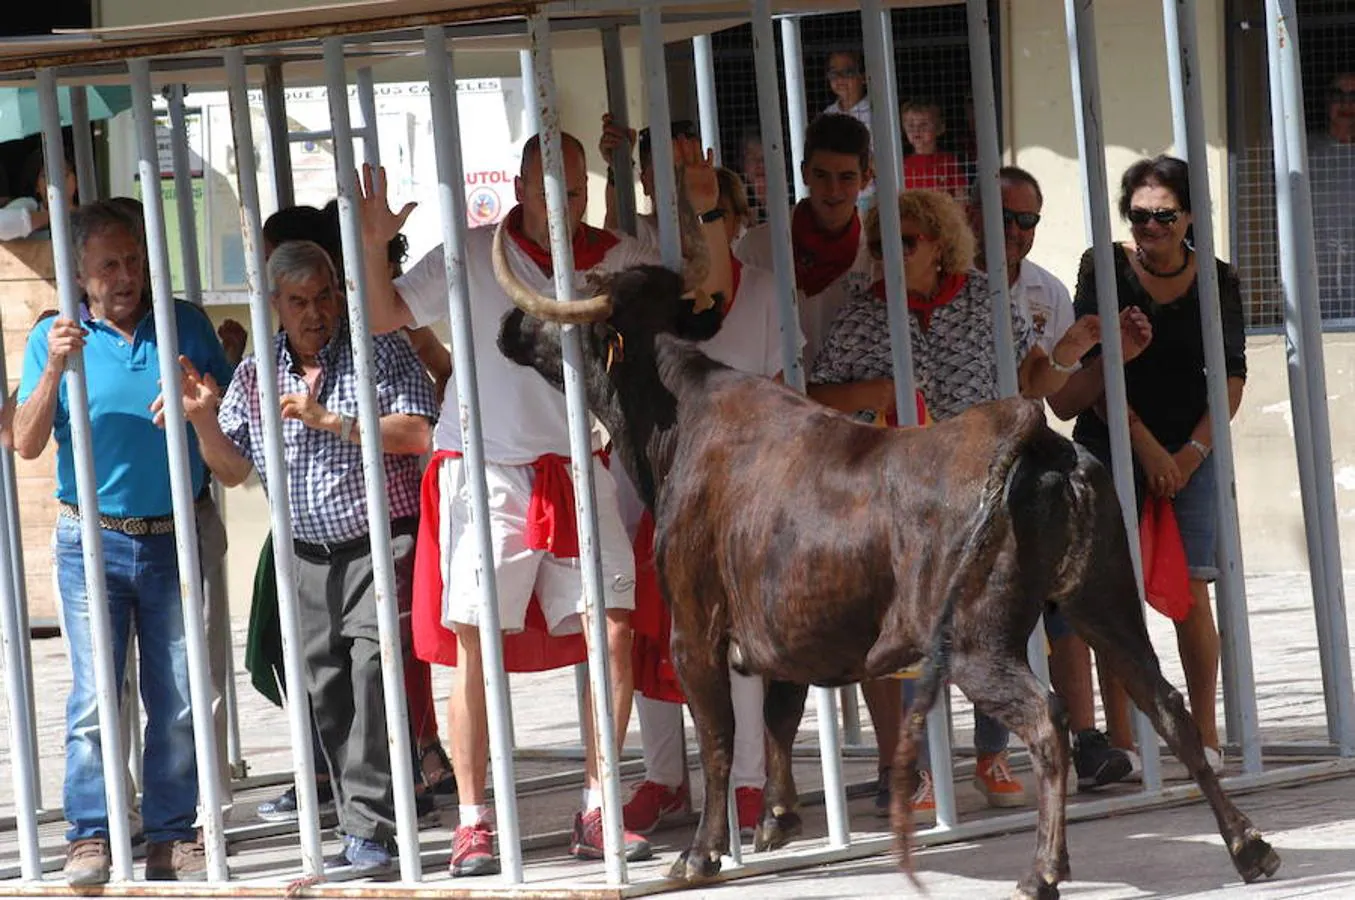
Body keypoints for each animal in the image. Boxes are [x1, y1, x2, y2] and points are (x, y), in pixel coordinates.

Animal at [493, 230, 1273, 894]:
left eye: (576, 293)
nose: (505, 326)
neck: (676, 422)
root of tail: (1033, 434)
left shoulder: (694, 627)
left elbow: (717, 736)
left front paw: (701, 854)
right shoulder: (787, 629)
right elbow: (779, 714)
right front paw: (778, 820)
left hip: (976, 642)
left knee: (1046, 720)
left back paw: (1043, 872)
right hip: (1104, 600)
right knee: (1167, 704)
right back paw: (1248, 847)